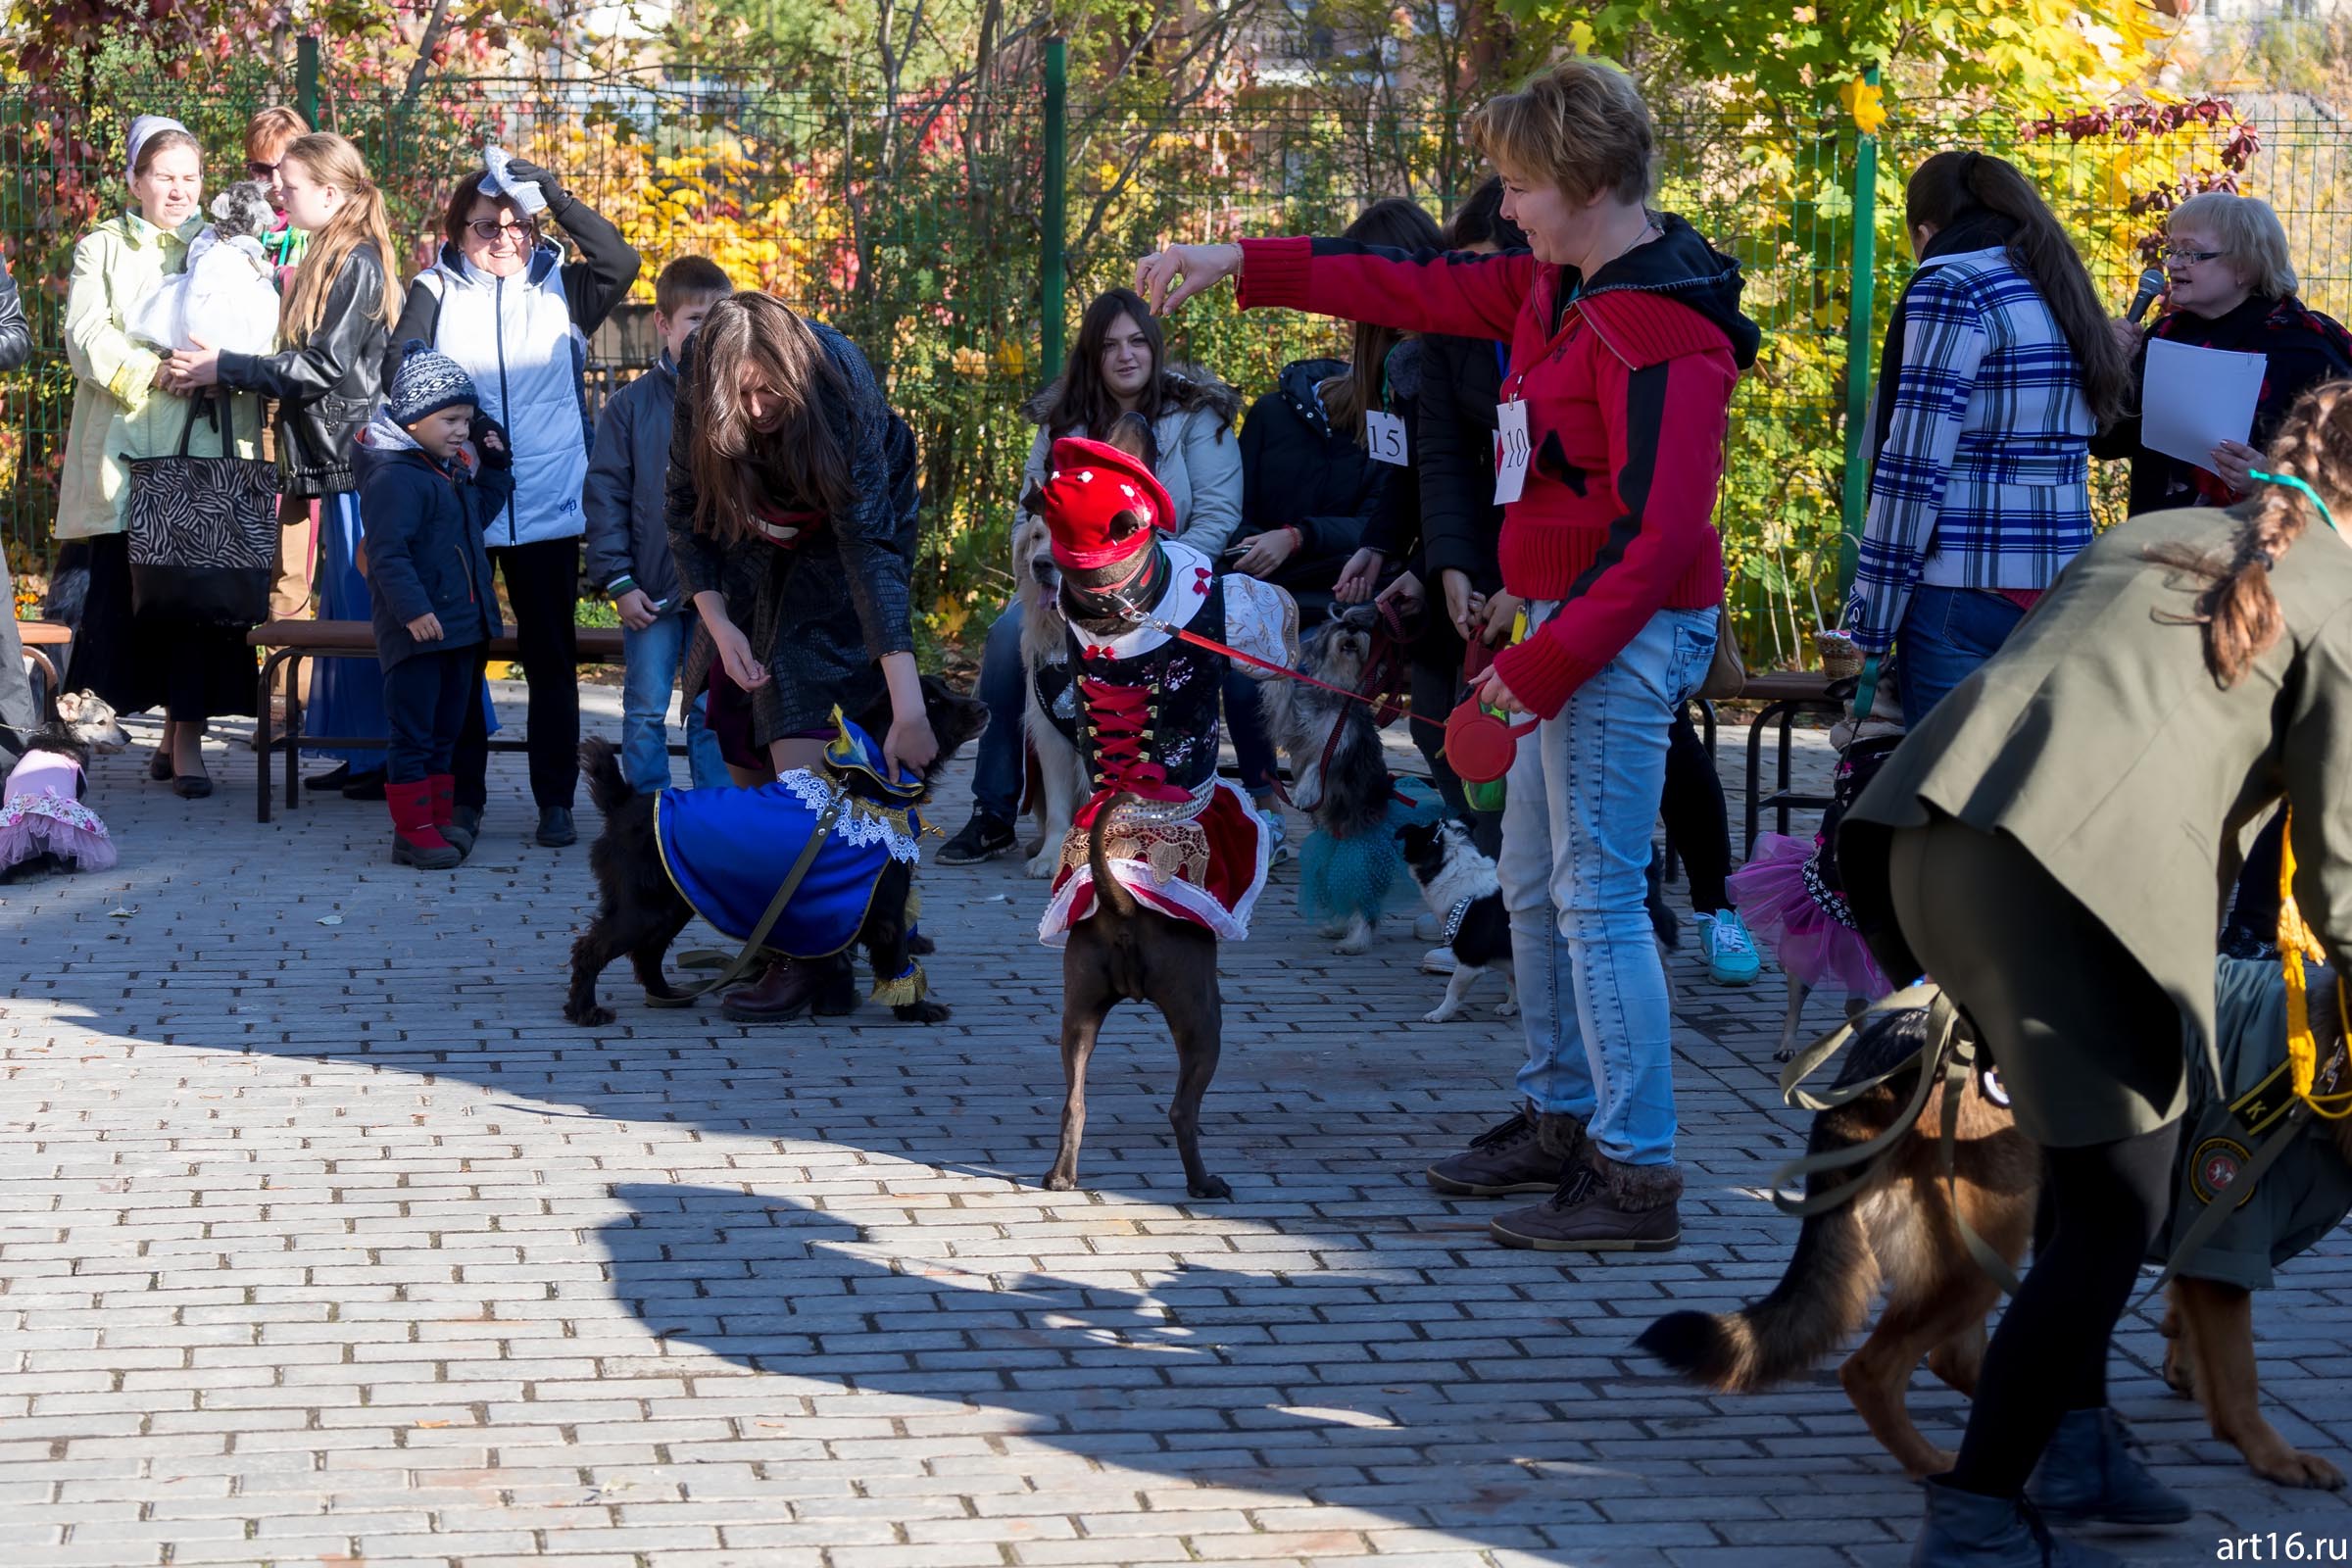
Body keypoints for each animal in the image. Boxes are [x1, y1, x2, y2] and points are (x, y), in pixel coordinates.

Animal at [571, 676, 992, 1029]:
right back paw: (584, 1009)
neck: (862, 792)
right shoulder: (887, 908)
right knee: (591, 948)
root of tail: (624, 802)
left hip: (672, 905)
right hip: (645, 908)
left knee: (647, 953)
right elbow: (898, 960)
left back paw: (665, 994)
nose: (985, 706)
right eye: (931, 701)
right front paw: (916, 1009)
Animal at [1637, 987, 2352, 1494]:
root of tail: (1890, 1050)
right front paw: (2274, 1457)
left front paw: (2182, 1363)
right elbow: (2239, 1374)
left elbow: (2190, 1321)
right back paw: (1941, 1462)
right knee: (1877, 1369)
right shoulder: (2225, 1216)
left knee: (1956, 1358)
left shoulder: (2198, 1239)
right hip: (1990, 1245)